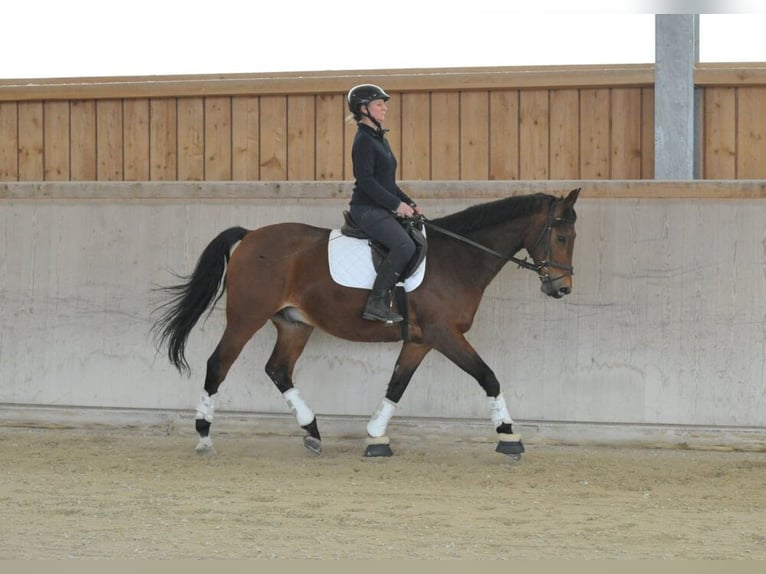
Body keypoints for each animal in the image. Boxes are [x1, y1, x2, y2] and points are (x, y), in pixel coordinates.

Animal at [152, 188, 581, 459]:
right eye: (561, 236)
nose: (562, 288)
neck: (458, 257)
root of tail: (252, 234)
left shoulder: (421, 340)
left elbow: (396, 385)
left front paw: (376, 438)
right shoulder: (444, 334)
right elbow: (488, 377)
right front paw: (509, 435)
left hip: (294, 325)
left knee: (278, 370)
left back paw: (312, 432)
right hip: (246, 317)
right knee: (217, 365)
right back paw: (204, 437)